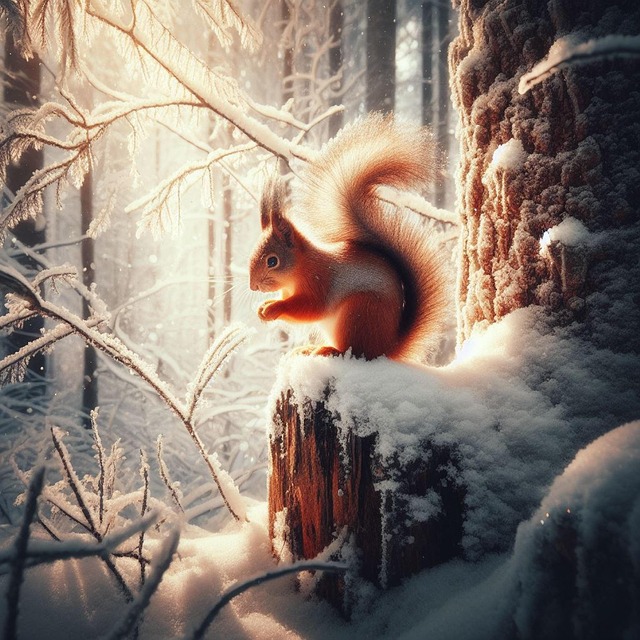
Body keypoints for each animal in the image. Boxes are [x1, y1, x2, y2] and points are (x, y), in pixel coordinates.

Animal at [248, 113, 447, 362]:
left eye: (272, 261)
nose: (253, 286)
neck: (300, 268)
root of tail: (386, 348)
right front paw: (264, 307)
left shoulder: (321, 281)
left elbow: (311, 308)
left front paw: (274, 308)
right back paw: (309, 349)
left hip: (359, 313)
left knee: (354, 350)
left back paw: (328, 350)